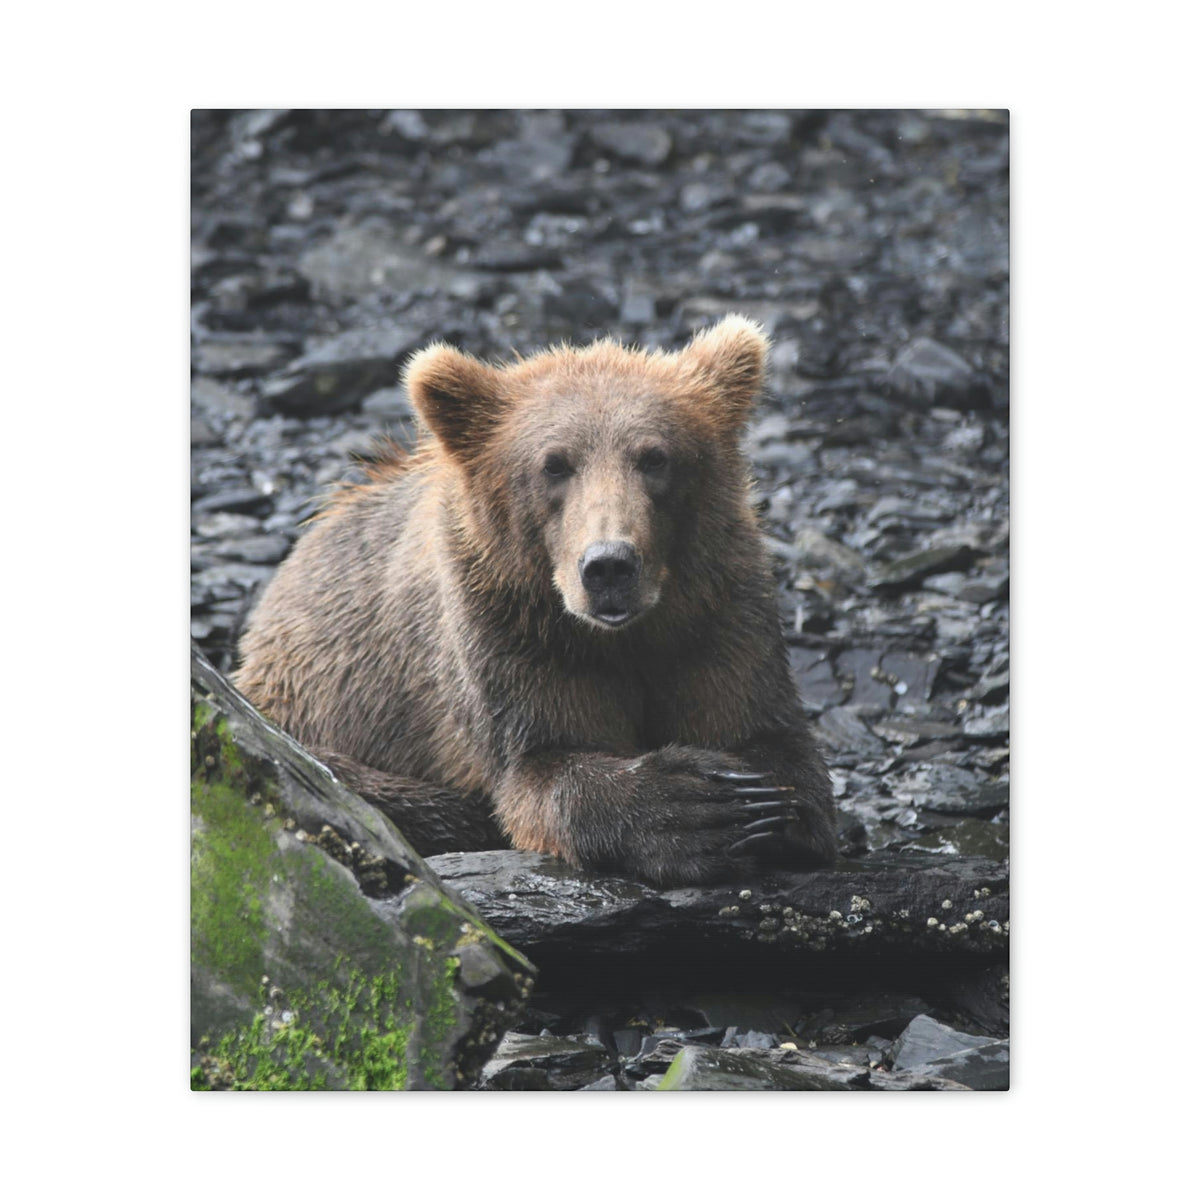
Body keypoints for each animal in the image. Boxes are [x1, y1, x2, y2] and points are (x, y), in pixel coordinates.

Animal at [234, 315, 837, 886]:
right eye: (554, 464)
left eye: (655, 457)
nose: (609, 566)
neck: (622, 635)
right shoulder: (509, 632)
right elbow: (540, 766)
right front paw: (693, 807)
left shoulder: (717, 612)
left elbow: (768, 736)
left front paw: (758, 803)